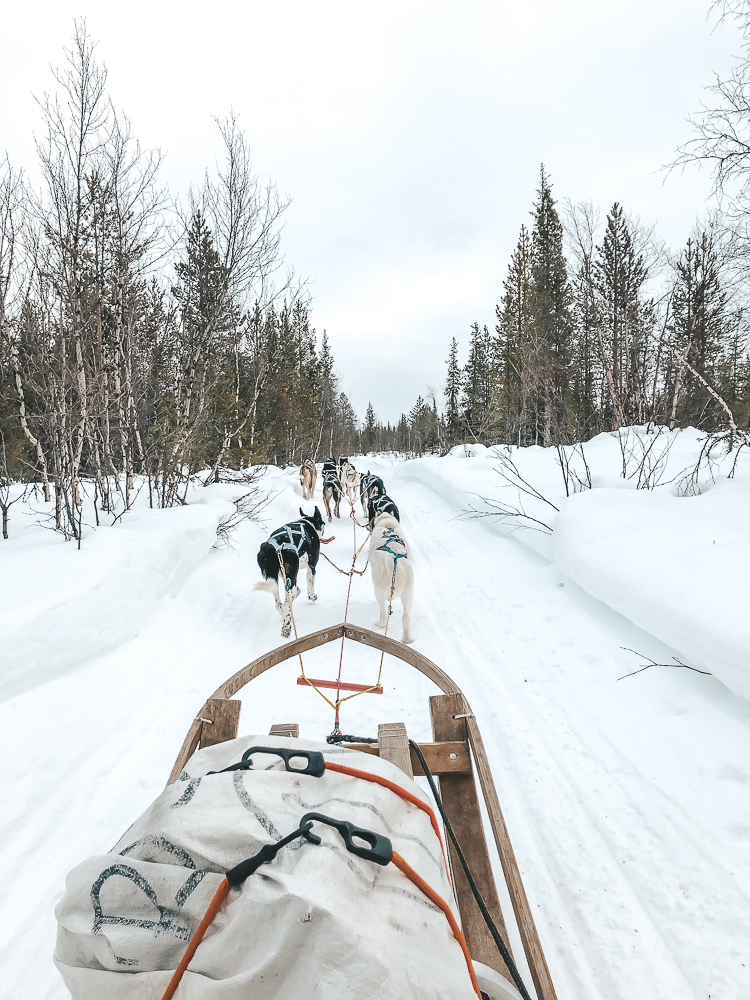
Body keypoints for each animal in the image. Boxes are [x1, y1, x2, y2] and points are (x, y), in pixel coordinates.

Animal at [256, 508, 326, 640]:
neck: (307, 523)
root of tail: (272, 549)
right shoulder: (311, 567)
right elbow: (310, 585)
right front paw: (312, 596)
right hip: (291, 577)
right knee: (286, 603)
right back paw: (287, 628)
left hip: (274, 579)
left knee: (279, 604)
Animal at [368, 512, 414, 644]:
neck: (388, 526)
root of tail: (394, 558)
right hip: (408, 596)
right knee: (405, 616)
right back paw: (407, 640)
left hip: (378, 591)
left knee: (383, 614)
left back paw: (379, 624)